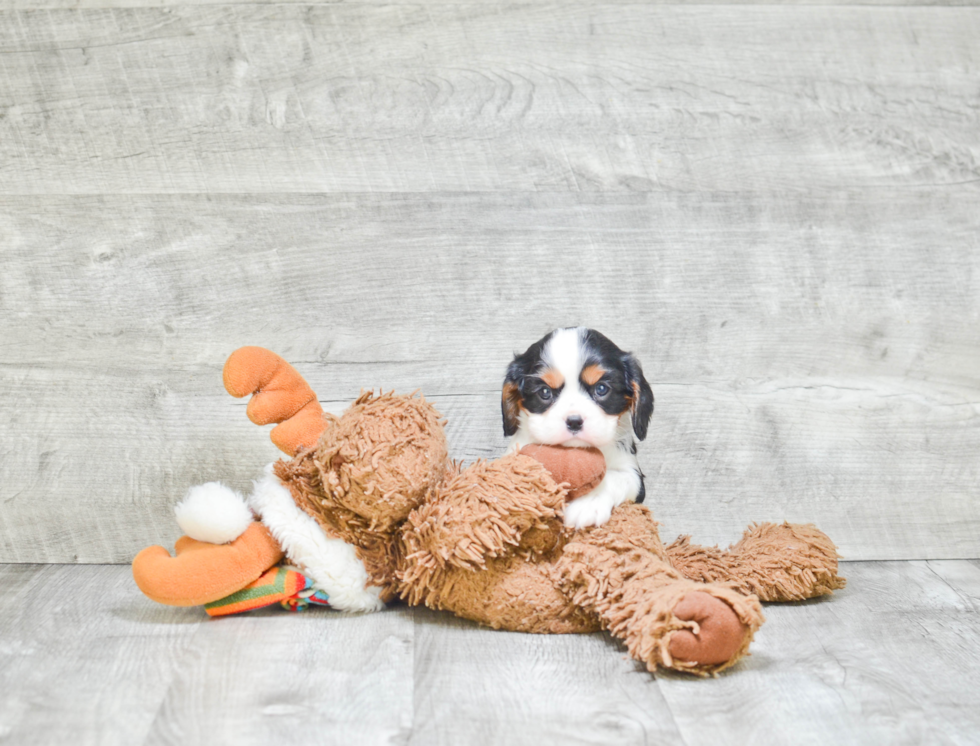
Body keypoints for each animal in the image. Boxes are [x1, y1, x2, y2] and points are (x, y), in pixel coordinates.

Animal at [502, 326, 656, 528]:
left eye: (601, 389)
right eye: (544, 392)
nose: (574, 421)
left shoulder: (633, 474)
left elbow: (615, 477)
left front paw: (588, 502)